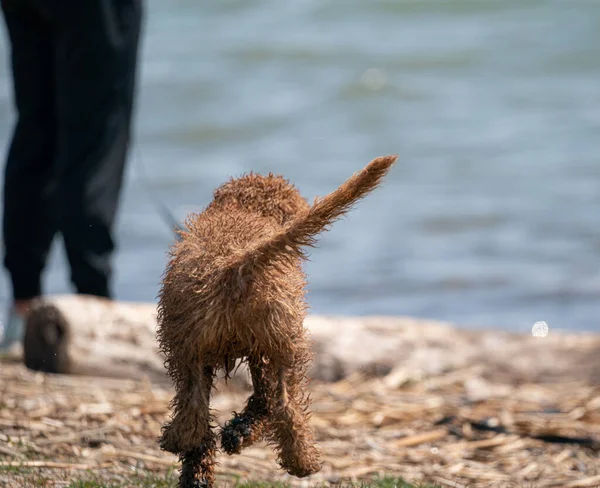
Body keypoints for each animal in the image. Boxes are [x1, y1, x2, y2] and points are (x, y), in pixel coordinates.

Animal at [157, 154, 396, 486]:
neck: (245, 209)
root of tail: (237, 263)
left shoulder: (256, 352)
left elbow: (260, 400)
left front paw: (236, 434)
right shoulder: (260, 350)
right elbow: (262, 401)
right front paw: (237, 434)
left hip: (199, 349)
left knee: (202, 412)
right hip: (276, 346)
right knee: (275, 407)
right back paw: (301, 462)